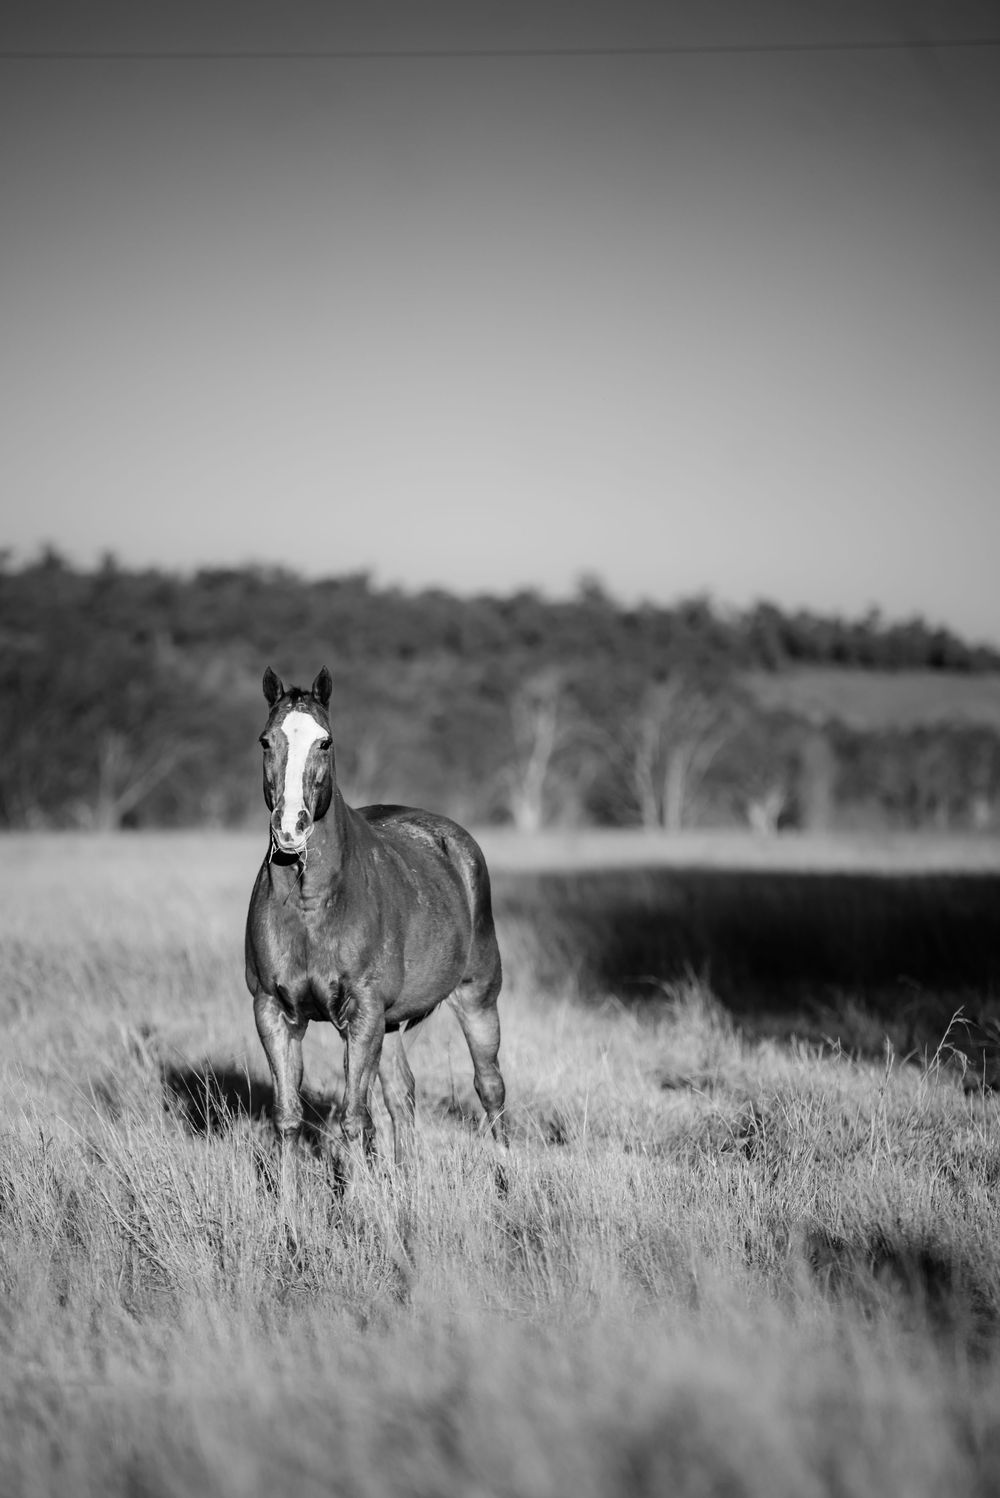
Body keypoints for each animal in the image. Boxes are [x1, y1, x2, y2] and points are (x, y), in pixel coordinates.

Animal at [244, 666, 507, 1171]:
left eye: (325, 742)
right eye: (266, 741)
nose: (291, 829)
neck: (313, 907)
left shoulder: (362, 1011)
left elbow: (354, 1121)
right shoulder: (273, 1011)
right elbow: (288, 1119)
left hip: (477, 1000)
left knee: (490, 1089)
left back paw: (507, 1176)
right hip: (390, 1024)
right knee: (402, 1095)